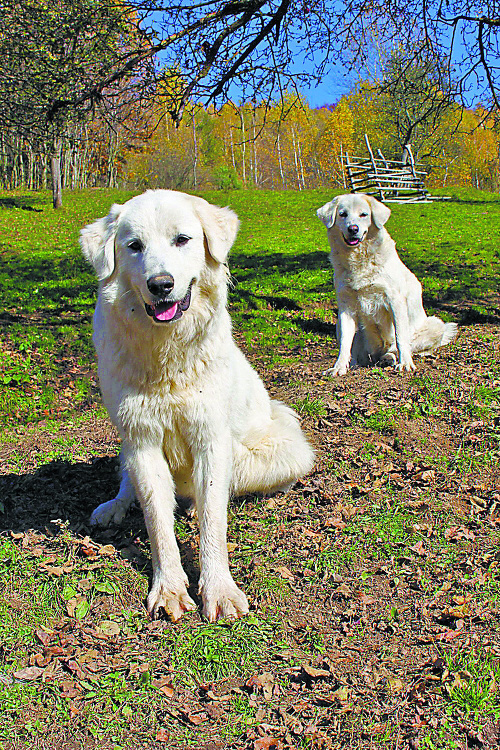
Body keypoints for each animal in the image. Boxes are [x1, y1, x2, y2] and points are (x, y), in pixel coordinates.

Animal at [81, 189, 314, 624]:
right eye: (134, 246)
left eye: (182, 240)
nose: (160, 285)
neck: (166, 352)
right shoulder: (142, 440)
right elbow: (157, 520)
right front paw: (170, 588)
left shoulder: (211, 441)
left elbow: (213, 523)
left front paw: (219, 589)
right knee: (129, 484)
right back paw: (115, 506)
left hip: (282, 449)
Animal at [316, 194, 458, 376]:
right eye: (342, 214)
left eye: (364, 214)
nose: (353, 229)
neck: (359, 260)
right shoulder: (346, 307)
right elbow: (345, 343)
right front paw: (339, 367)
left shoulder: (394, 300)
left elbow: (400, 337)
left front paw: (405, 363)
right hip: (351, 330)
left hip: (436, 325)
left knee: (403, 347)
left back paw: (390, 358)